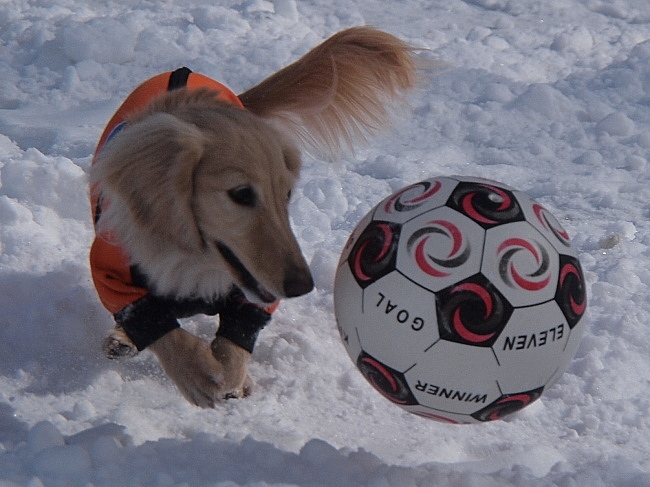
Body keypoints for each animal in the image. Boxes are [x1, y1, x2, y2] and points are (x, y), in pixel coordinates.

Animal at [88, 26, 418, 408]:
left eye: (286, 194)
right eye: (241, 194)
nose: (302, 286)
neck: (197, 263)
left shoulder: (253, 293)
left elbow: (236, 342)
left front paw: (229, 375)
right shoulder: (112, 270)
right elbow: (155, 322)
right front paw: (194, 370)